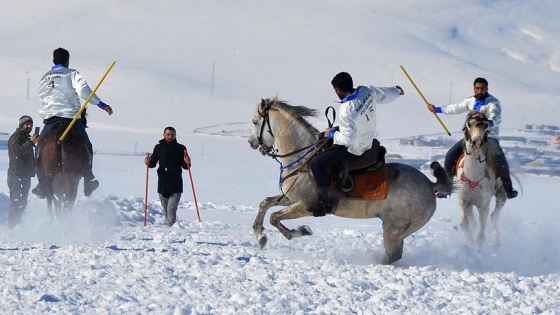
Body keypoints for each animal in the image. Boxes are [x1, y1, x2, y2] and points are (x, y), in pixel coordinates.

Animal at [247, 97, 452, 266]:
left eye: (255, 122)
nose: (251, 143)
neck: (302, 159)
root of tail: (431, 185)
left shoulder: (307, 206)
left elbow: (275, 217)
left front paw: (301, 231)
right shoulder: (291, 198)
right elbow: (265, 203)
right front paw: (260, 235)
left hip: (393, 229)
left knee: (393, 255)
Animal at [456, 112, 508, 251]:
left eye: (486, 127)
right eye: (469, 124)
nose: (477, 142)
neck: (474, 177)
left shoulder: (484, 205)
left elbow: (482, 231)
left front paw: (478, 249)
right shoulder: (463, 201)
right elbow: (464, 223)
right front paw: (469, 242)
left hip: (501, 196)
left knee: (494, 217)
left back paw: (496, 242)